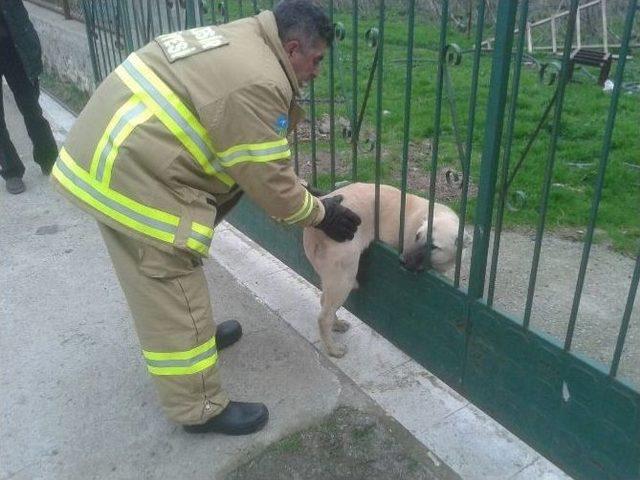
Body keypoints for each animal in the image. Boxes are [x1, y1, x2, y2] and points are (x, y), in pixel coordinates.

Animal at [302, 183, 468, 356]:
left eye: (434, 246)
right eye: (417, 236)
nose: (402, 260)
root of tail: (312, 228)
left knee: (324, 301)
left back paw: (337, 324)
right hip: (343, 276)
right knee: (324, 317)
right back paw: (333, 349)